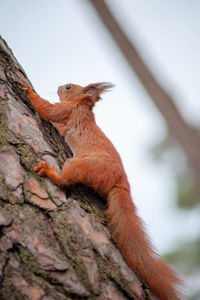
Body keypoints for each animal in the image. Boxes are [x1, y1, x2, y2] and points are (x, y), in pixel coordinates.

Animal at [18, 82, 183, 300]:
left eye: (69, 87)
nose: (60, 86)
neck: (82, 106)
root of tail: (121, 182)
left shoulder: (67, 112)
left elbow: (48, 110)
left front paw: (27, 90)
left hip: (84, 165)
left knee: (66, 178)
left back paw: (49, 172)